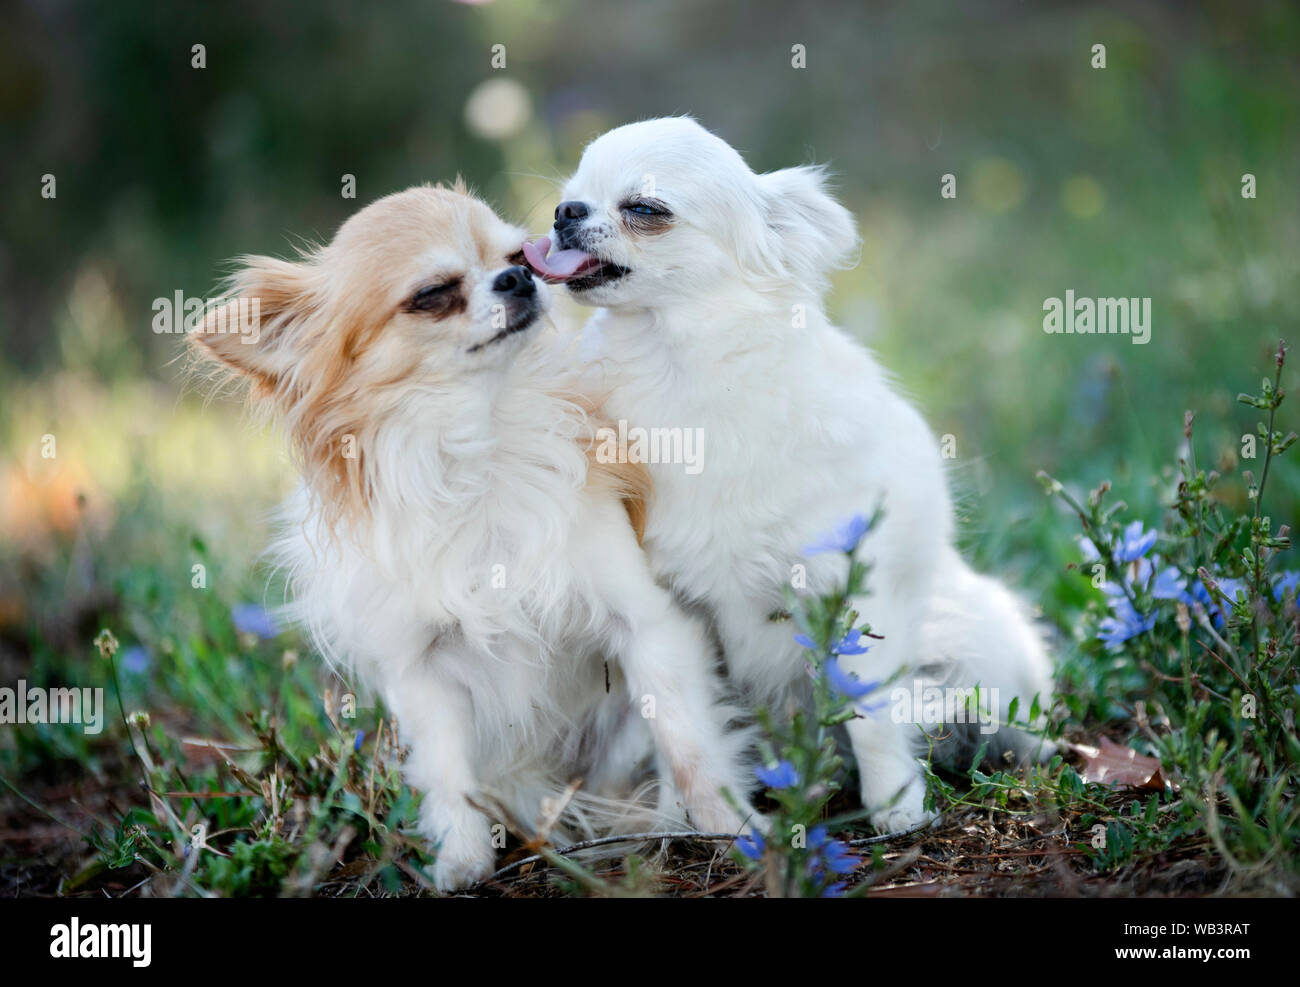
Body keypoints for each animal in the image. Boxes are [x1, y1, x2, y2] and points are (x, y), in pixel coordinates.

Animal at [187, 183, 748, 889]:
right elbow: (448, 772)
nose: (517, 279)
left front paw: (727, 823)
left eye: (519, 258)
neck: (479, 443)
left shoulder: (646, 624)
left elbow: (686, 736)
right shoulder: (421, 672)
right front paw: (462, 859)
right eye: (432, 294)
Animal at [527, 117, 1055, 832]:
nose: (564, 214)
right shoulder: (671, 608)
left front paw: (896, 809)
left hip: (979, 642)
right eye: (569, 197)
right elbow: (682, 726)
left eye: (645, 209)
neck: (680, 372)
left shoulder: (852, 591)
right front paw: (690, 817)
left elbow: (871, 718)